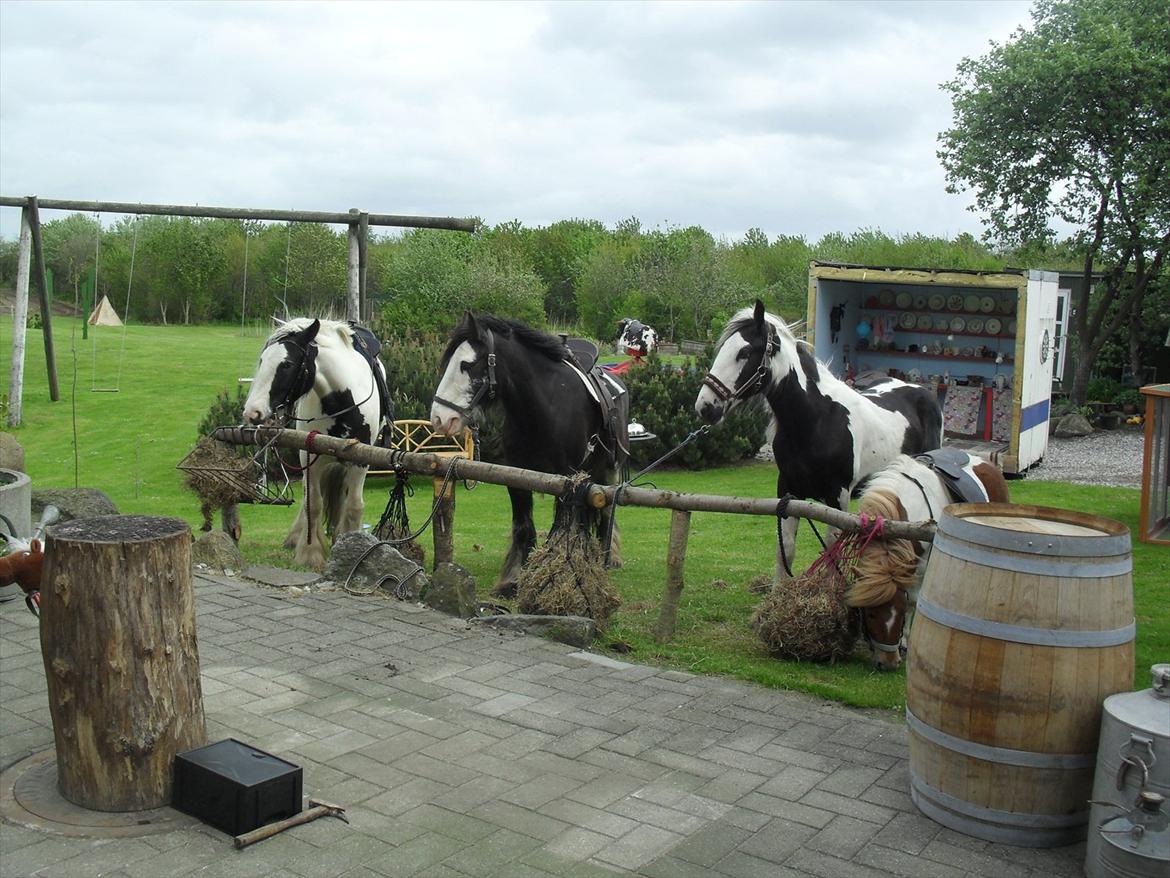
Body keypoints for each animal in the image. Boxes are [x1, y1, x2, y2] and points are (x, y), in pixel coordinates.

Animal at [430, 311, 631, 599]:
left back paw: (608, 557)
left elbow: (562, 528)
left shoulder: (567, 480)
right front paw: (513, 580)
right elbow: (524, 526)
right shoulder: (517, 478)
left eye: (467, 365)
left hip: (608, 469)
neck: (543, 405)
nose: (441, 418)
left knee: (605, 509)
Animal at [692, 302, 940, 585]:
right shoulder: (788, 492)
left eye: (744, 352)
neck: (817, 420)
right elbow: (785, 550)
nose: (706, 406)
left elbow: (832, 551)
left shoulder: (838, 497)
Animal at [847, 454, 1010, 674]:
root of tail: (987, 463)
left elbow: (913, 601)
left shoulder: (922, 565)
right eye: (871, 614)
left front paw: (905, 642)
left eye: (899, 614)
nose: (888, 663)